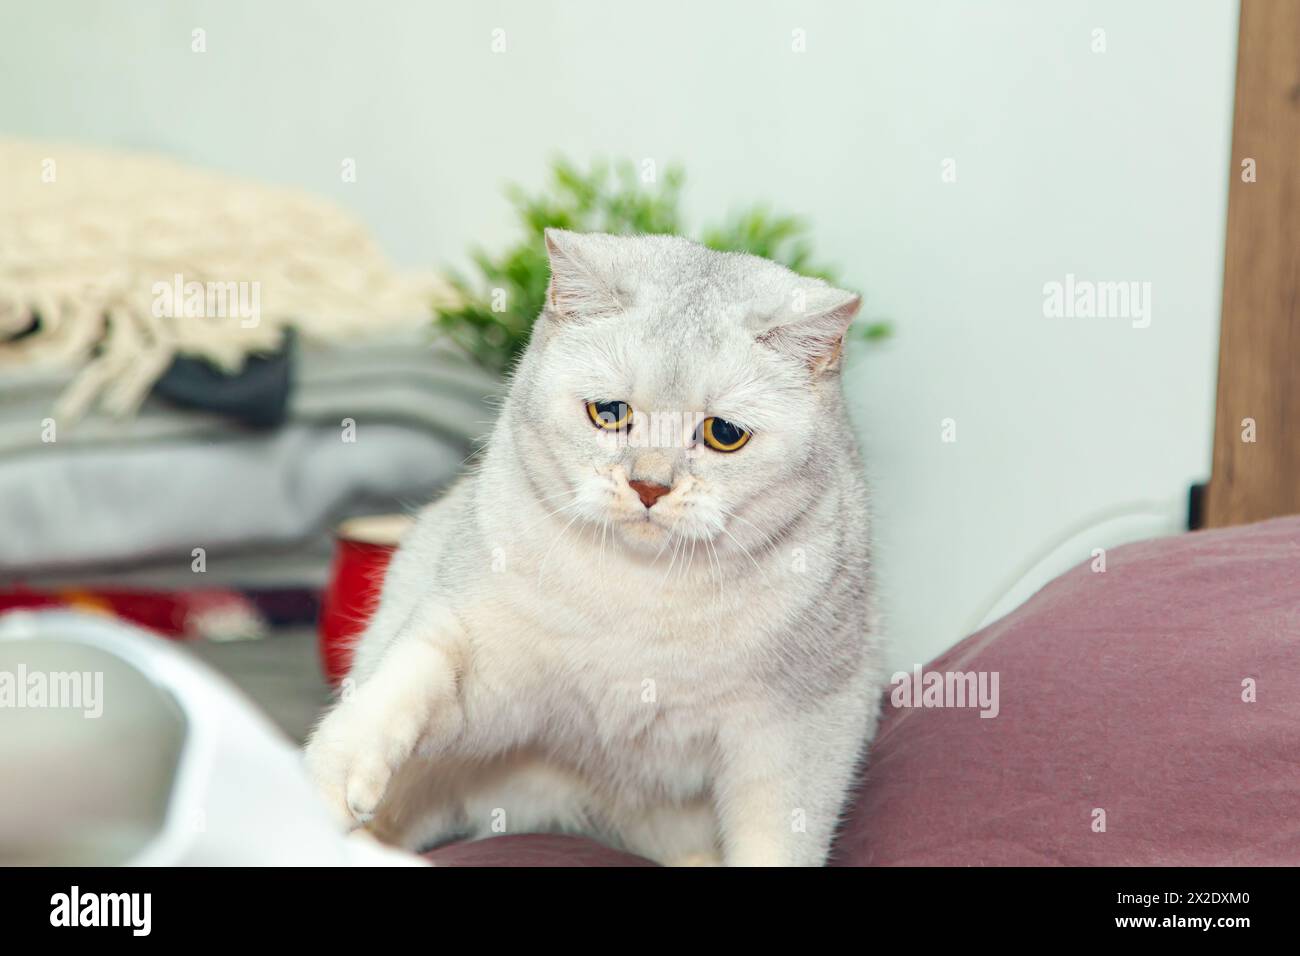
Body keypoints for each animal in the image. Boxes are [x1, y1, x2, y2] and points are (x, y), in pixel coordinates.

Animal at [304, 231, 883, 868]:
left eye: (723, 434)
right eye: (610, 414)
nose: (649, 486)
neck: (638, 590)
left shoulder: (801, 728)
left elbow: (776, 841)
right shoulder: (479, 663)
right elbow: (410, 675)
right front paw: (335, 773)